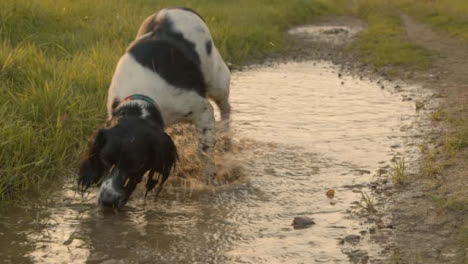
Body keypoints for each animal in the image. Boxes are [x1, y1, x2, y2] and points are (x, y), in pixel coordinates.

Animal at [78, 7, 230, 208]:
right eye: (104, 159)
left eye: (137, 165)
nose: (107, 201)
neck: (140, 97)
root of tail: (178, 8)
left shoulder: (202, 111)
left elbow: (204, 152)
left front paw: (208, 179)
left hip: (217, 80)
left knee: (226, 108)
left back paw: (228, 141)